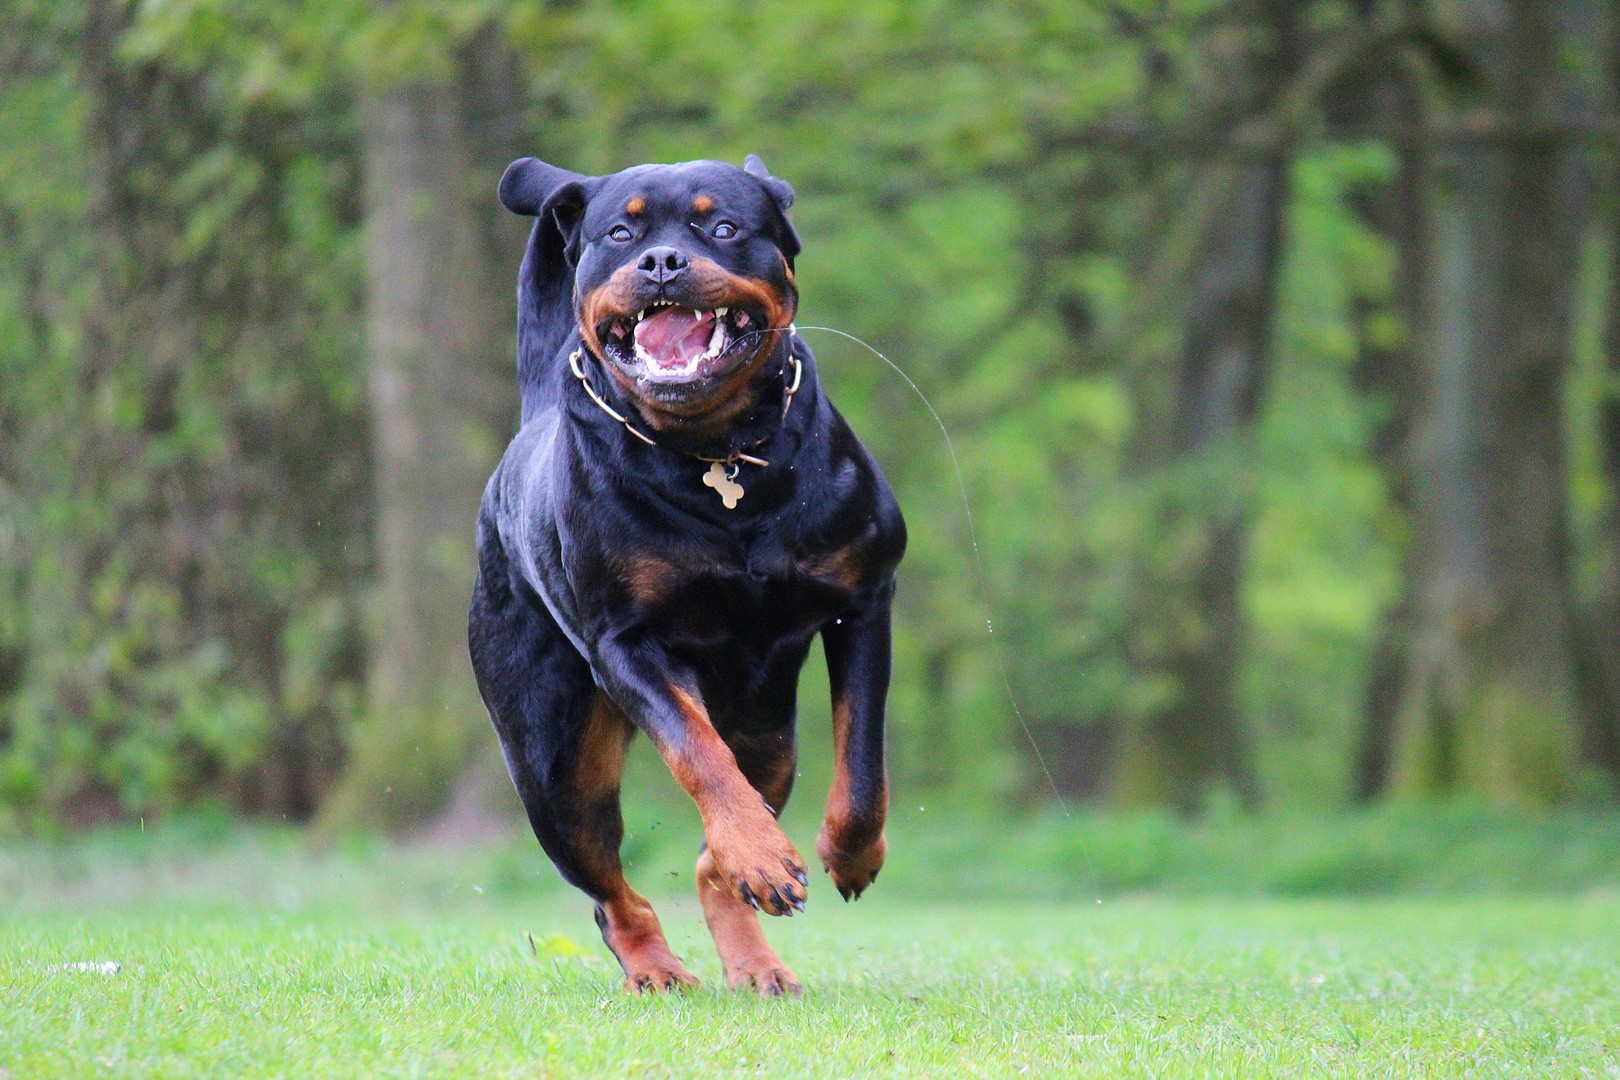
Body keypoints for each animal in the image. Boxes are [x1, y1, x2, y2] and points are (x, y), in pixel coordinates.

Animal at [469, 152, 907, 997]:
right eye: (620, 232)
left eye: (725, 227)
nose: (663, 262)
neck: (716, 454)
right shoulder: (627, 643)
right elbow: (697, 753)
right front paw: (762, 853)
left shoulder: (864, 599)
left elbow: (863, 759)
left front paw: (845, 854)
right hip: (554, 763)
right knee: (610, 889)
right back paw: (658, 968)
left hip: (769, 731)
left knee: (714, 858)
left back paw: (757, 959)